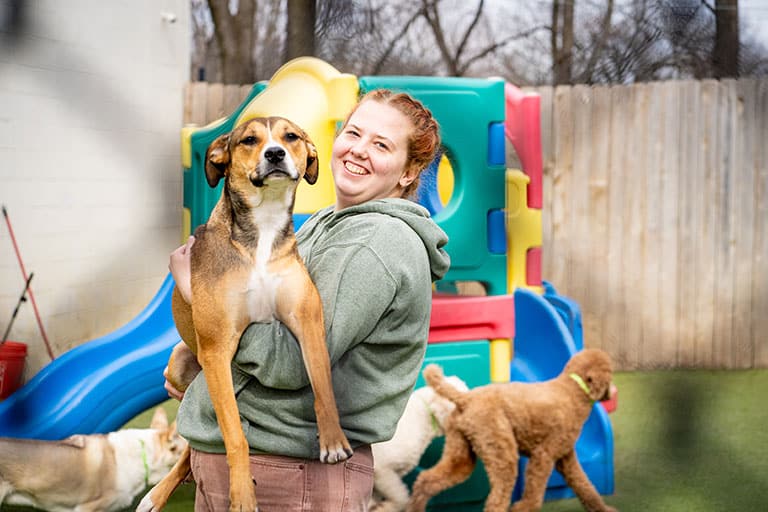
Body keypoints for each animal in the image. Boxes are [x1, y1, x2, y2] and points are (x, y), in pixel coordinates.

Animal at [137, 117, 352, 512]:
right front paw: (241, 495)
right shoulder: (217, 348)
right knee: (194, 444)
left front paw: (333, 441)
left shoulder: (308, 323)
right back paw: (156, 495)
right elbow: (236, 437)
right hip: (182, 365)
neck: (263, 229)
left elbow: (324, 388)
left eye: (291, 136)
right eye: (249, 140)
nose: (275, 154)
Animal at [408, 348, 616, 512]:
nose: (613, 391)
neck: (573, 389)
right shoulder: (543, 455)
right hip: (501, 450)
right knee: (495, 501)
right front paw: (522, 507)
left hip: (460, 454)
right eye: (610, 374)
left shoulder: (566, 459)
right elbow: (534, 491)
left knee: (426, 479)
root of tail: (465, 398)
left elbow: (585, 486)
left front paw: (603, 509)